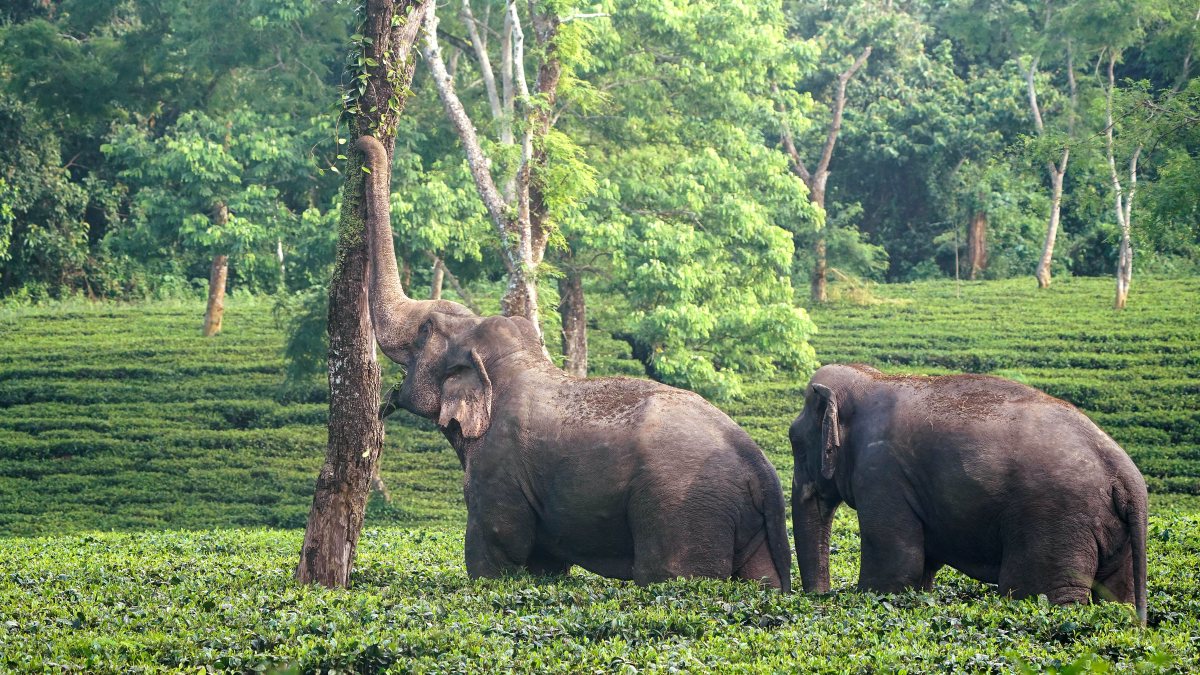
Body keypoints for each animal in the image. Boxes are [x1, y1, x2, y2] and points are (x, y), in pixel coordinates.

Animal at [357, 135, 791, 590]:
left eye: (425, 330)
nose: (361, 144)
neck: (512, 364)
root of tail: (763, 472)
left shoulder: (498, 465)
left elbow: (496, 547)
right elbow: (545, 565)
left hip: (684, 512)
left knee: (669, 575)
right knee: (763, 582)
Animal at [790, 364, 1147, 623]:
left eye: (795, 442)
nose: (819, 599)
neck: (872, 377)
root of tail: (1125, 473)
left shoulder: (881, 473)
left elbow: (895, 567)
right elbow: (922, 567)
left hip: (1057, 521)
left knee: (1037, 592)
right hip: (1111, 529)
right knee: (1119, 595)